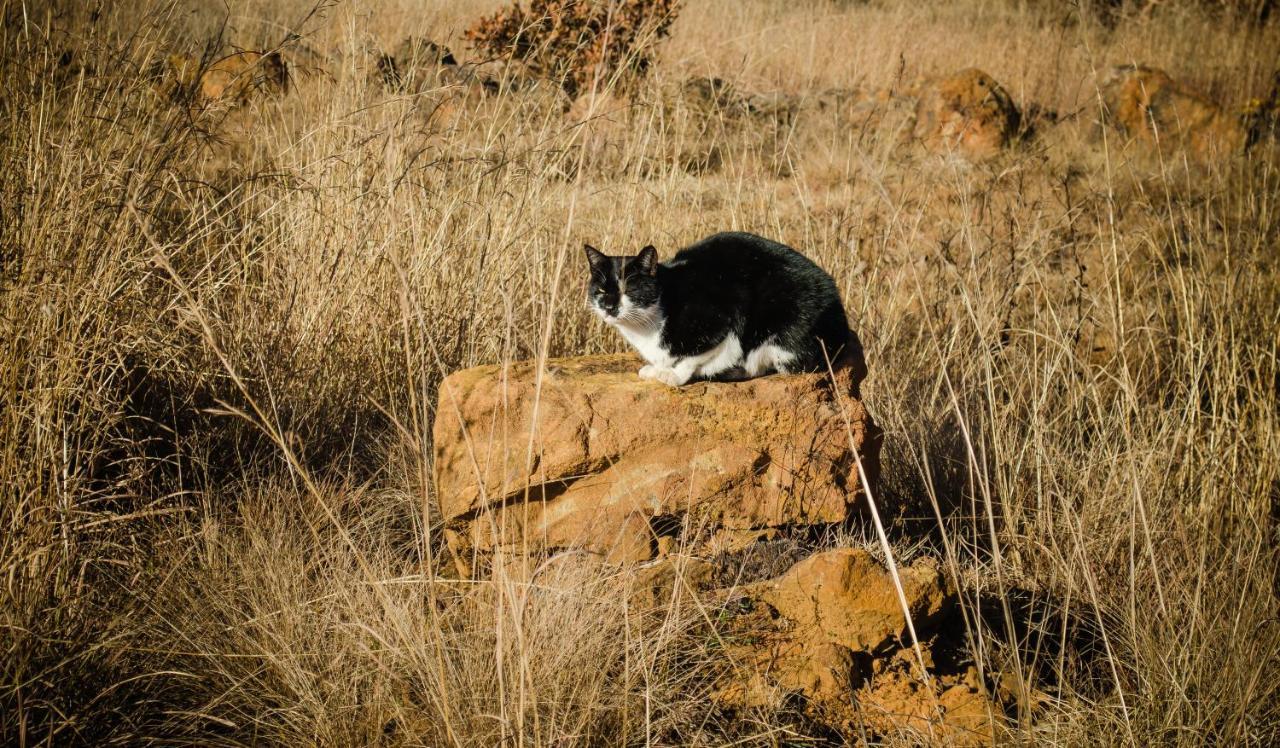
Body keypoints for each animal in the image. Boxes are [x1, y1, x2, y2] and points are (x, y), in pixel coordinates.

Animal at [586, 231, 855, 386]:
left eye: (629, 290)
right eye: (601, 291)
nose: (609, 307)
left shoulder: (723, 315)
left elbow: (692, 357)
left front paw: (673, 376)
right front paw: (658, 369)